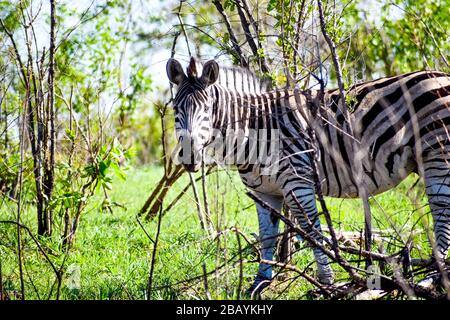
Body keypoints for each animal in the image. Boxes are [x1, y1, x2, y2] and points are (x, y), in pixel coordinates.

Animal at [167, 57, 450, 296]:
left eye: (207, 109)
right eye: (176, 109)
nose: (189, 158)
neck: (253, 128)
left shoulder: (298, 181)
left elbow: (312, 232)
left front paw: (328, 285)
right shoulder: (264, 192)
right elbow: (267, 236)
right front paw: (259, 283)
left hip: (437, 155)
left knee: (442, 216)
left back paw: (435, 278)